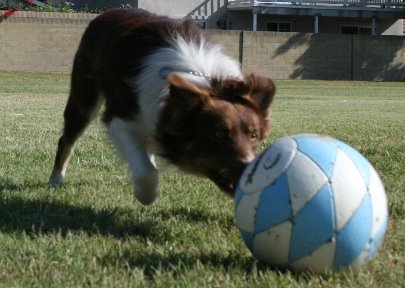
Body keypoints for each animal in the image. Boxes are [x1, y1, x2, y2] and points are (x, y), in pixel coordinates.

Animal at [48, 7, 274, 204]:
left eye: (254, 135)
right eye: (218, 134)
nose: (250, 171)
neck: (205, 82)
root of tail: (108, 12)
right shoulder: (119, 116)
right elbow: (146, 170)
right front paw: (146, 195)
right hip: (84, 96)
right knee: (67, 138)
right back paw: (56, 179)